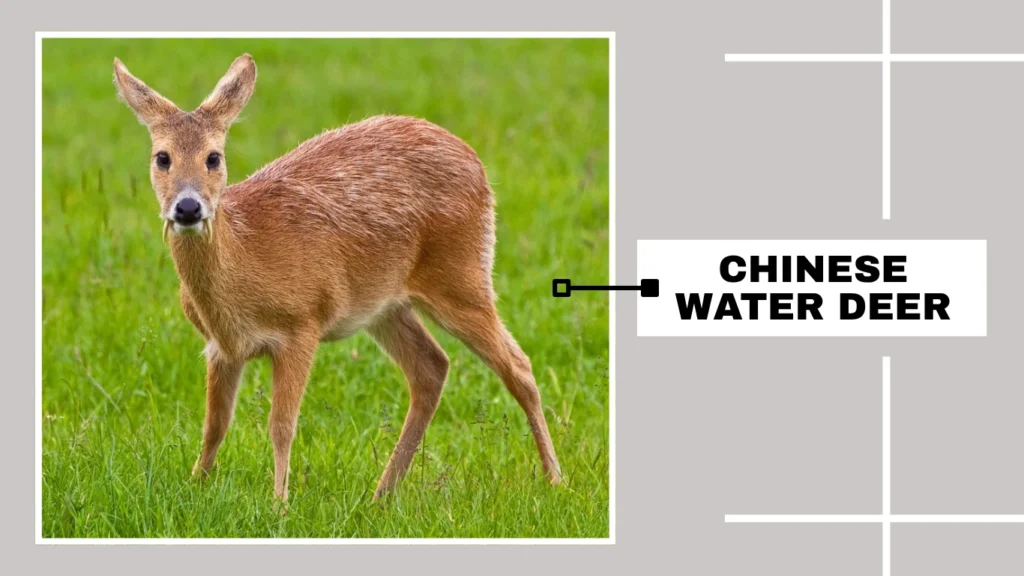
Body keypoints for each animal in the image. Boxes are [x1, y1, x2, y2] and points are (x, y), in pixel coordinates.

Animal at [113, 53, 562, 505]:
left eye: (214, 157)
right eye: (162, 157)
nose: (188, 208)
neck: (244, 263)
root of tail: (478, 164)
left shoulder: (301, 323)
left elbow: (281, 426)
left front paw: (279, 504)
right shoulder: (221, 347)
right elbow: (214, 426)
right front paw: (196, 485)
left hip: (462, 274)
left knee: (518, 366)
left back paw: (555, 479)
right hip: (385, 306)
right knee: (432, 367)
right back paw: (382, 493)